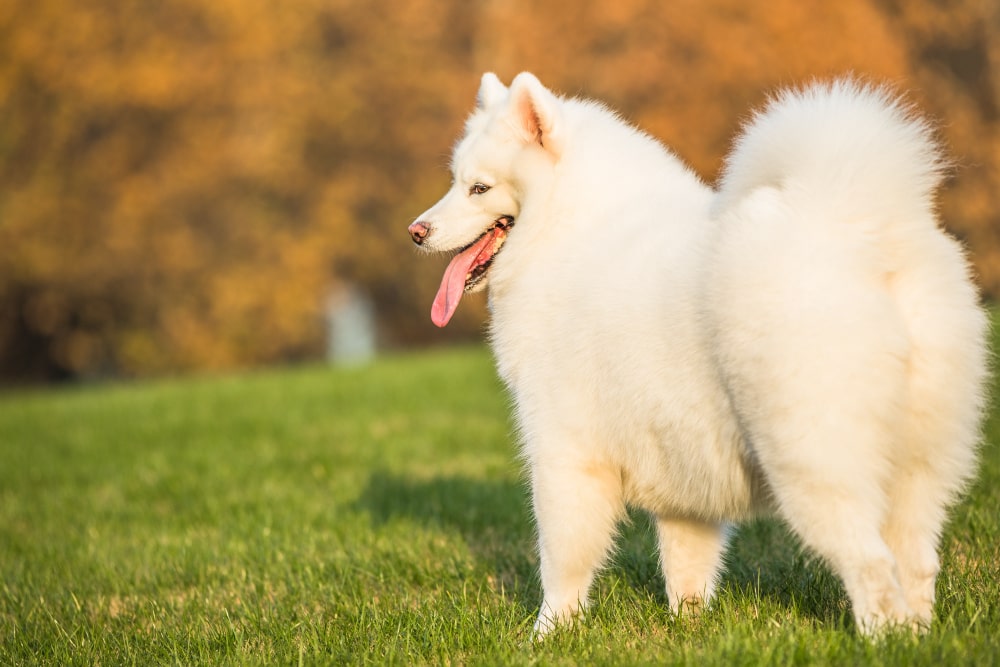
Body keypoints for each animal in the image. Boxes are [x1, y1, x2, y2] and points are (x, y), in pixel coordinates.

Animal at [406, 73, 984, 636]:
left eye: (479, 188)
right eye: (455, 181)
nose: (416, 231)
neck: (568, 230)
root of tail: (861, 225)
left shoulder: (565, 455)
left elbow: (563, 562)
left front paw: (548, 636)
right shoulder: (682, 475)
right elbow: (687, 565)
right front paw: (688, 626)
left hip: (814, 460)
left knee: (871, 565)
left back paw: (883, 639)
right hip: (919, 466)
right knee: (916, 562)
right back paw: (918, 637)